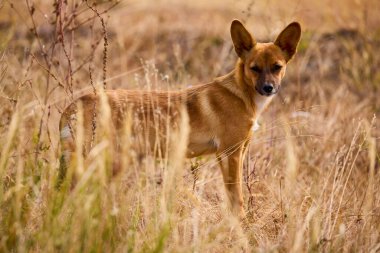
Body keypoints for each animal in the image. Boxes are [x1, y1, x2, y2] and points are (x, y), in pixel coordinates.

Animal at [59, 20, 302, 217]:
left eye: (277, 67)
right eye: (254, 68)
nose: (268, 88)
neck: (241, 95)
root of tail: (75, 103)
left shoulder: (232, 154)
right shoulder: (230, 153)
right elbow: (237, 196)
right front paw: (241, 224)